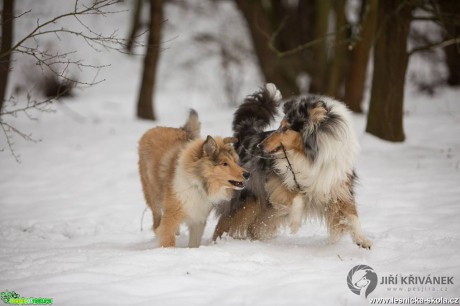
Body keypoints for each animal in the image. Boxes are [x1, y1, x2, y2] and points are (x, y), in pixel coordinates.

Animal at [138, 111, 250, 247]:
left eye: (234, 161)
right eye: (224, 164)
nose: (247, 174)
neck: (198, 185)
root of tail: (156, 128)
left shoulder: (198, 219)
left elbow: (194, 244)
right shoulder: (170, 218)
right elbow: (167, 239)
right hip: (153, 197)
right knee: (156, 222)